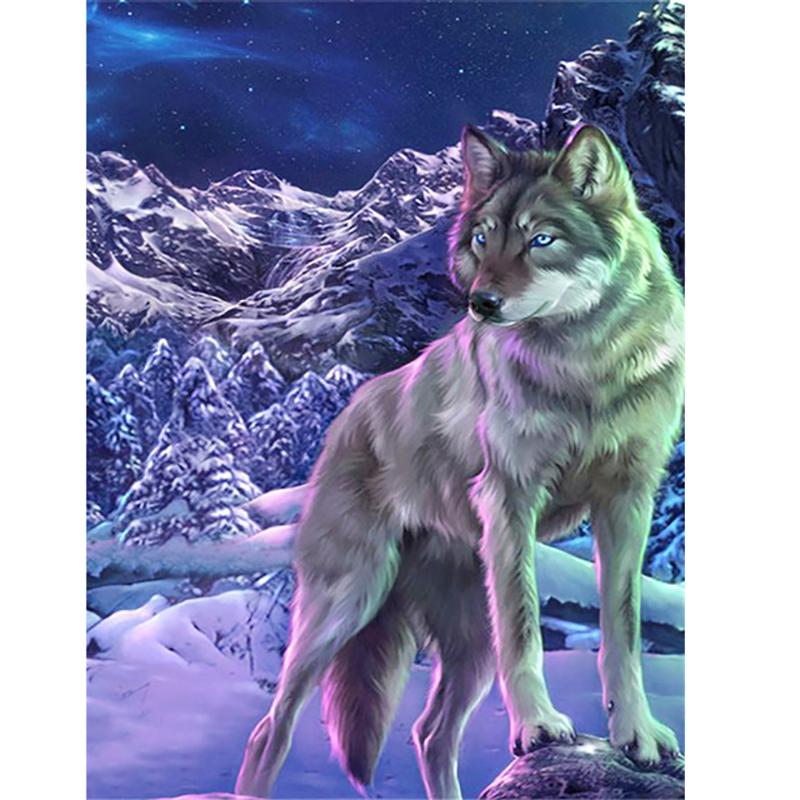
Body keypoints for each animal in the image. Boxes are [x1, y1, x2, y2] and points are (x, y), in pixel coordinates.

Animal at [235, 123, 684, 800]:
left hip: (467, 642)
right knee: (269, 730)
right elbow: (525, 630)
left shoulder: (628, 500)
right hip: (346, 605)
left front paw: (638, 735)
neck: (584, 368)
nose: (481, 304)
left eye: (541, 239)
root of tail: (345, 415)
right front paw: (538, 726)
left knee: (430, 733)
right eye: (481, 237)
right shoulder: (511, 498)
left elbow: (624, 630)